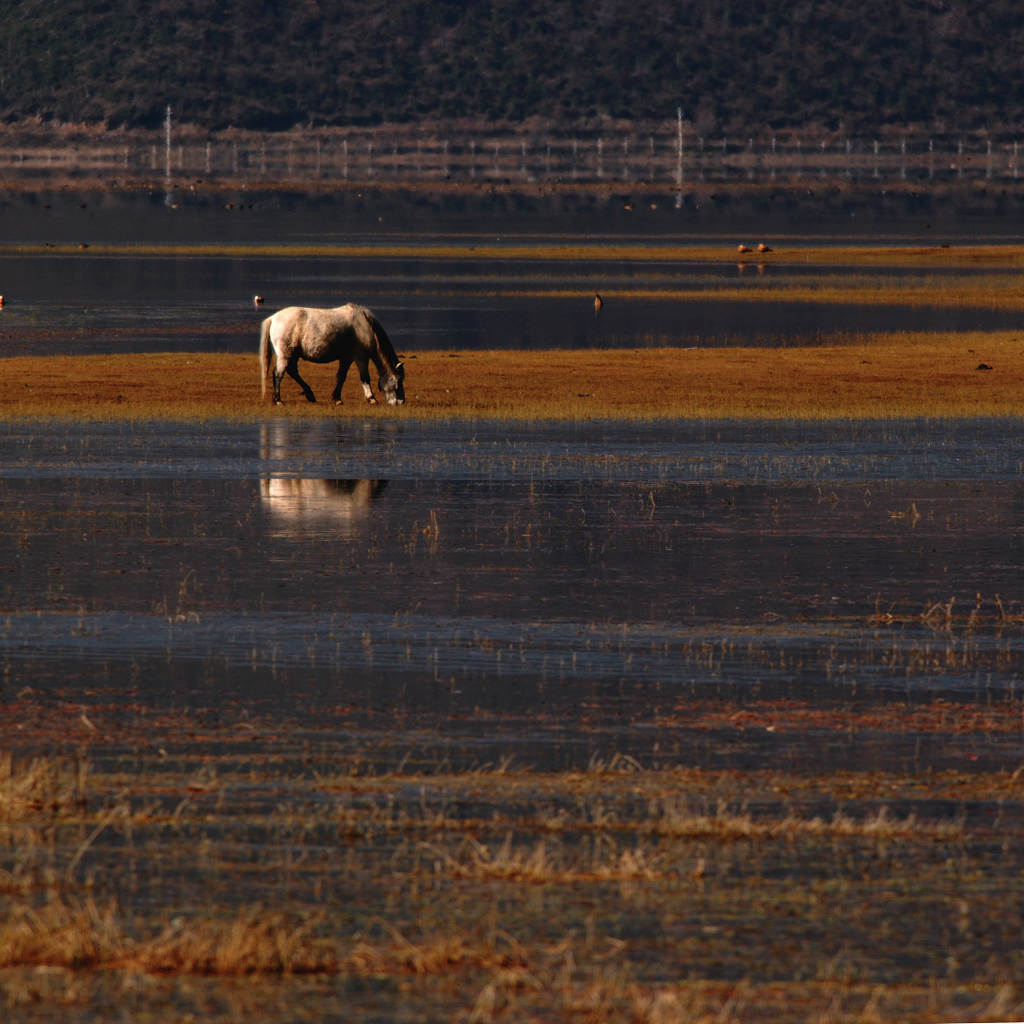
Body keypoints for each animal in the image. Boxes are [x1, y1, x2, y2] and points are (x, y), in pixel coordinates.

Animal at [258, 301, 405, 405]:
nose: (401, 402)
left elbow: (341, 377)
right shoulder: (361, 357)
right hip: (285, 355)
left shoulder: (346, 359)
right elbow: (365, 377)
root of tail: (273, 318)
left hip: (293, 355)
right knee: (278, 374)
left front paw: (337, 398)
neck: (364, 326)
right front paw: (371, 398)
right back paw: (278, 400)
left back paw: (309, 394)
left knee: (292, 371)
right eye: (398, 382)